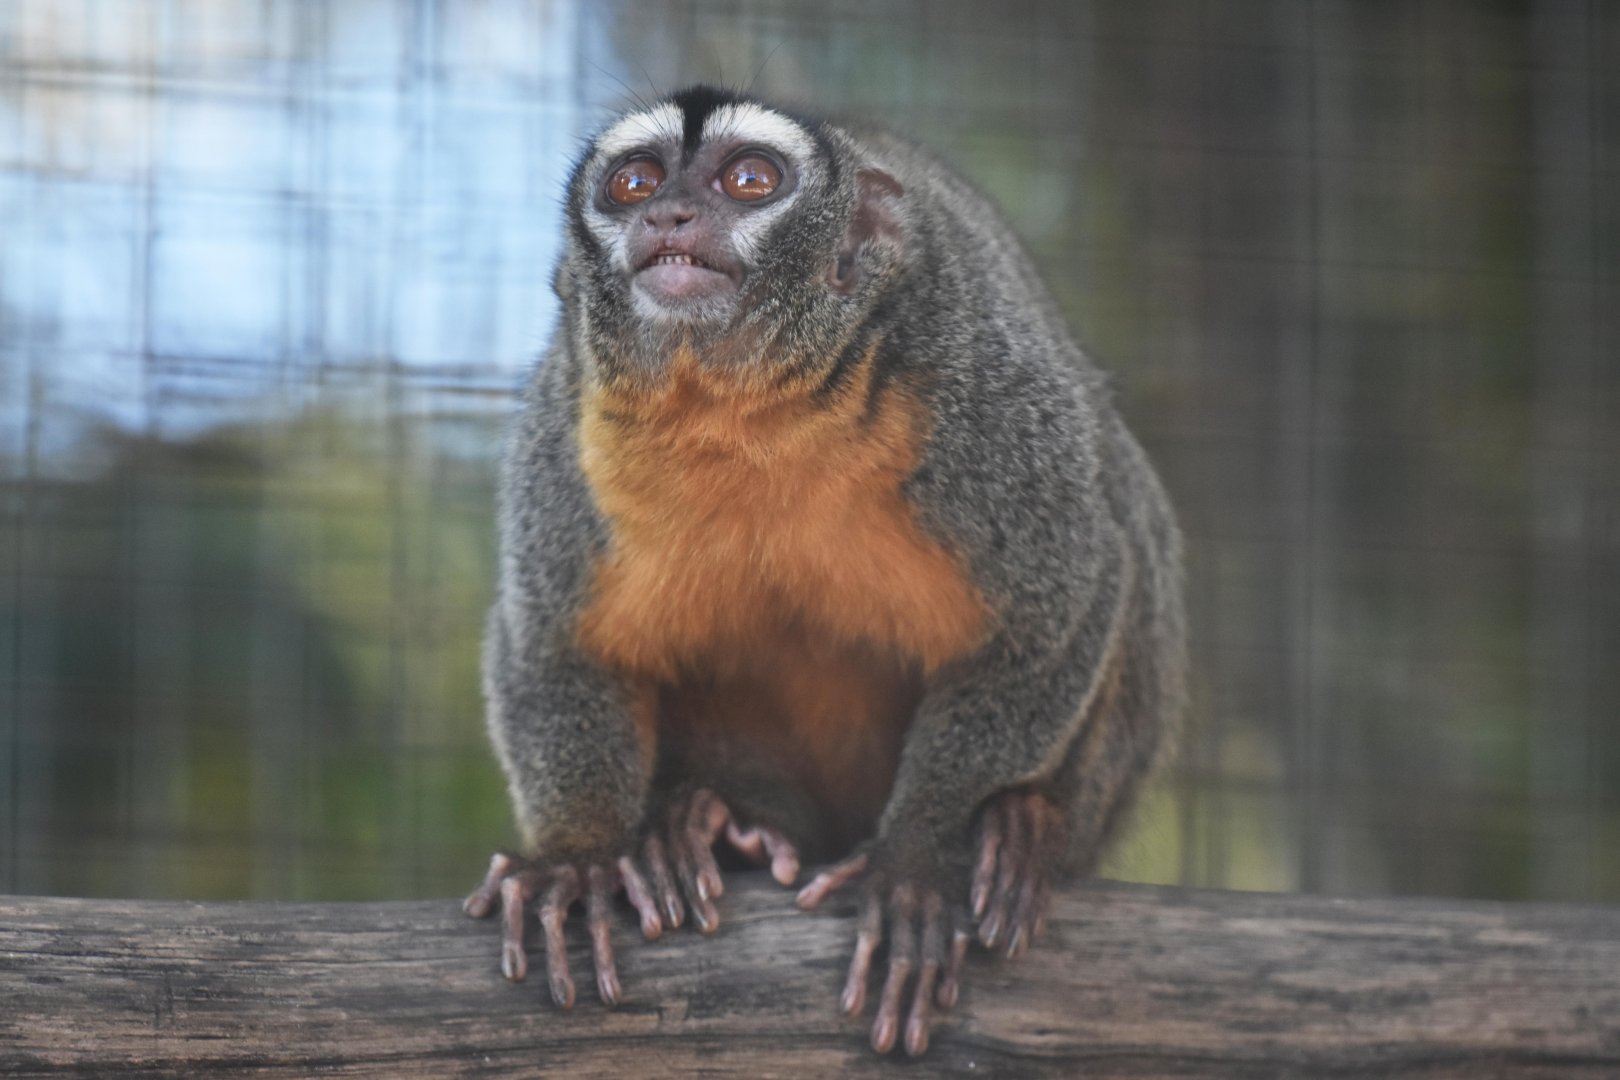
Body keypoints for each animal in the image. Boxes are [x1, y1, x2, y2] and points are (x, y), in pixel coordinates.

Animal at [461, 84, 1186, 1057]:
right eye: (635, 182)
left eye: (749, 181)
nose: (668, 214)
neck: (746, 405)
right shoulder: (569, 421)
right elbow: (550, 643)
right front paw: (575, 862)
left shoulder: (977, 379)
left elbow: (1064, 602)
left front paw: (916, 860)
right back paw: (715, 828)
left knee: (1124, 501)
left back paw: (1026, 831)